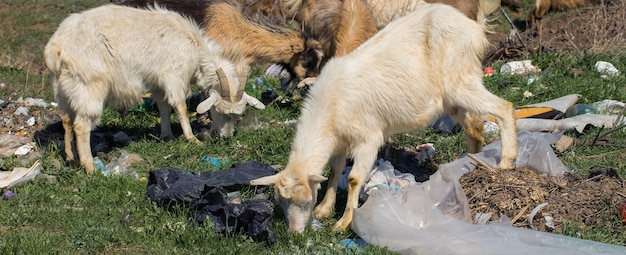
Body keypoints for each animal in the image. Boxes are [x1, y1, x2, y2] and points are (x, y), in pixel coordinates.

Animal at [43, 4, 258, 173]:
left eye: (238, 115)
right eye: (220, 111)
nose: (226, 137)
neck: (196, 50)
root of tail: (55, 48)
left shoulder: (157, 83)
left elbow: (164, 108)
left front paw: (167, 135)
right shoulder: (173, 76)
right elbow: (180, 107)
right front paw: (191, 138)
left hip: (64, 88)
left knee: (66, 119)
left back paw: (71, 157)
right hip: (89, 86)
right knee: (81, 125)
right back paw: (89, 166)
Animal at [249, 2, 516, 233]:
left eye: (304, 201)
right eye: (281, 204)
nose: (294, 233)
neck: (330, 103)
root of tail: (474, 29)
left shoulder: (368, 138)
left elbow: (354, 179)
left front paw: (344, 222)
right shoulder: (340, 141)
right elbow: (335, 171)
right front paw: (325, 209)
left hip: (461, 81)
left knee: (504, 107)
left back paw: (506, 161)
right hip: (453, 96)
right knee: (474, 128)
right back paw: (468, 163)